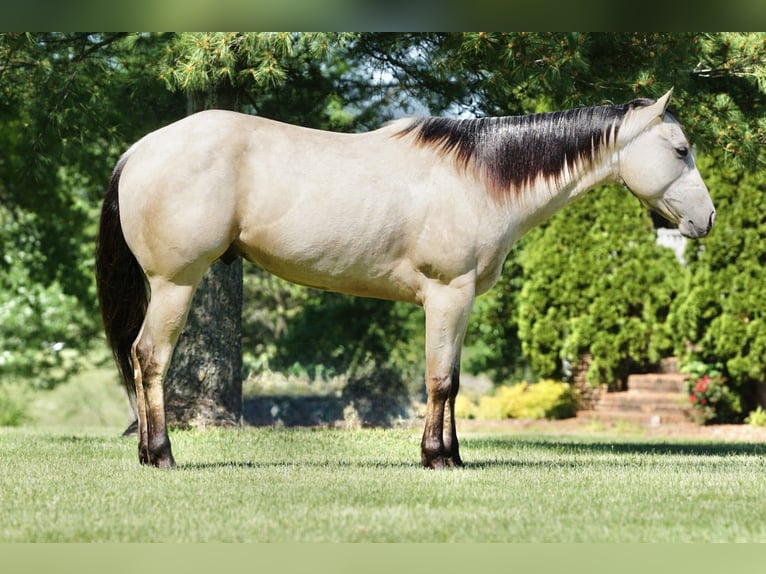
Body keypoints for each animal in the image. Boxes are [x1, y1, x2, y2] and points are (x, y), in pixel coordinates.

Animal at [96, 88, 715, 469]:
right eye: (680, 149)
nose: (706, 219)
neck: (480, 179)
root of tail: (139, 150)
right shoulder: (447, 295)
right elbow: (440, 381)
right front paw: (436, 457)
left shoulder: (459, 302)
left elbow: (454, 381)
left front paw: (453, 455)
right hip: (175, 284)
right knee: (149, 359)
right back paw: (161, 454)